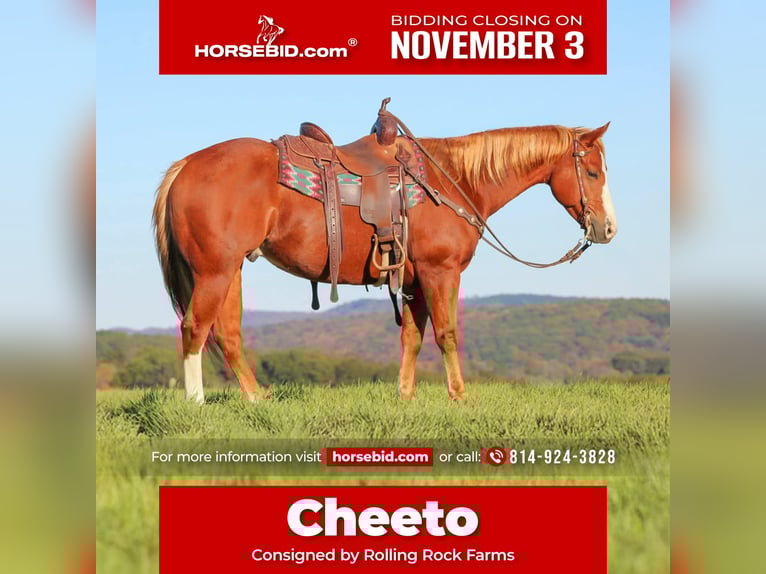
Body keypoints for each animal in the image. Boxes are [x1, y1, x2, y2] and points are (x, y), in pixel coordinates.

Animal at [152, 112, 616, 404]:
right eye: (593, 172)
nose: (608, 228)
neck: (455, 180)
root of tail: (186, 164)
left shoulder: (413, 282)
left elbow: (411, 337)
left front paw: (405, 396)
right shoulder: (440, 273)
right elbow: (447, 334)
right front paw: (459, 397)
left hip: (231, 271)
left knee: (228, 335)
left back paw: (255, 401)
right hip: (214, 270)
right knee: (195, 328)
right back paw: (196, 403)